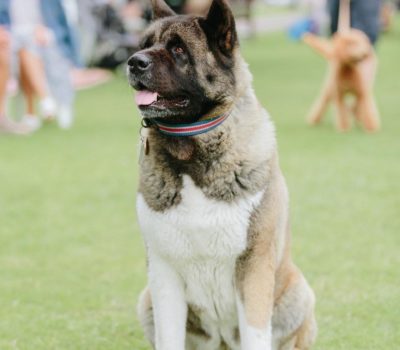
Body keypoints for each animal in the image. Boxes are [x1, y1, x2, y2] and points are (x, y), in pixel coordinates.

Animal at [127, 0, 316, 348]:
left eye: (177, 48)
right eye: (143, 45)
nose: (134, 62)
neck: (191, 150)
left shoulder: (253, 266)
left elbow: (256, 333)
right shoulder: (162, 271)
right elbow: (169, 335)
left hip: (298, 293)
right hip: (146, 300)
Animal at [304, 0, 380, 133]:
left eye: (364, 41)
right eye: (353, 43)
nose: (366, 53)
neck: (348, 69)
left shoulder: (362, 92)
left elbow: (365, 108)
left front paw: (371, 128)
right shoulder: (339, 94)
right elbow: (341, 111)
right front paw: (344, 129)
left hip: (367, 81)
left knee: (359, 105)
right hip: (330, 86)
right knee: (325, 101)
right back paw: (314, 120)